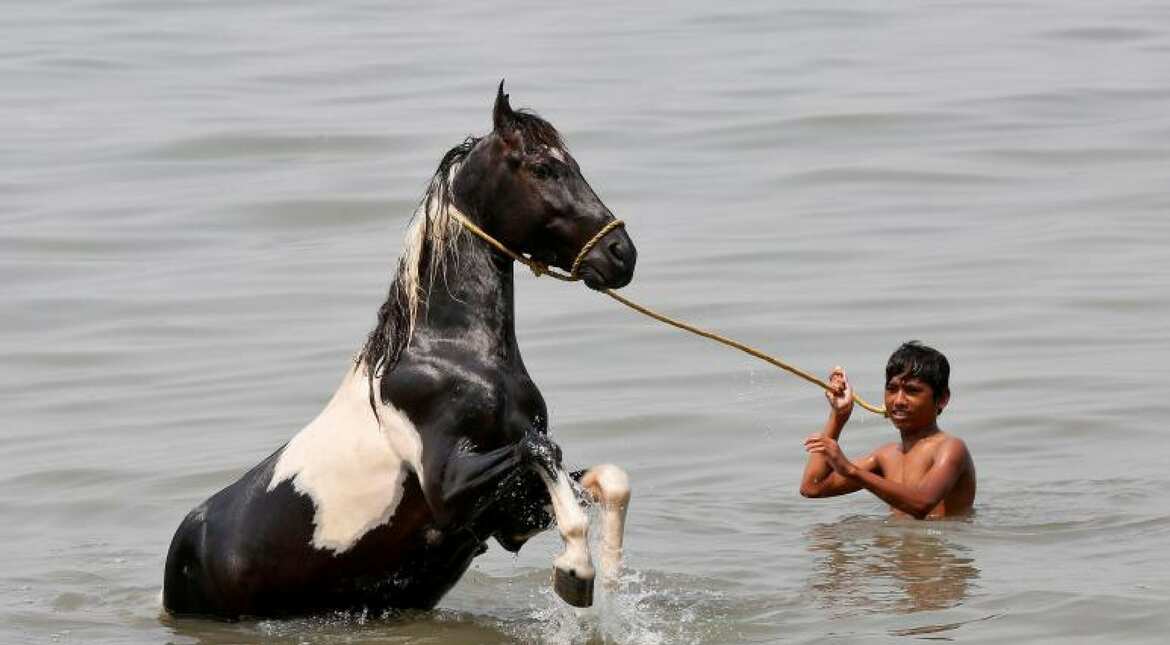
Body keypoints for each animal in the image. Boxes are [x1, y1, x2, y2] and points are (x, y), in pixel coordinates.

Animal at [162, 83, 636, 619]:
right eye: (543, 169)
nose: (622, 254)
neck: (454, 355)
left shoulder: (508, 515)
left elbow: (608, 478)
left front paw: (608, 576)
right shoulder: (450, 488)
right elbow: (543, 449)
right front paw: (576, 571)